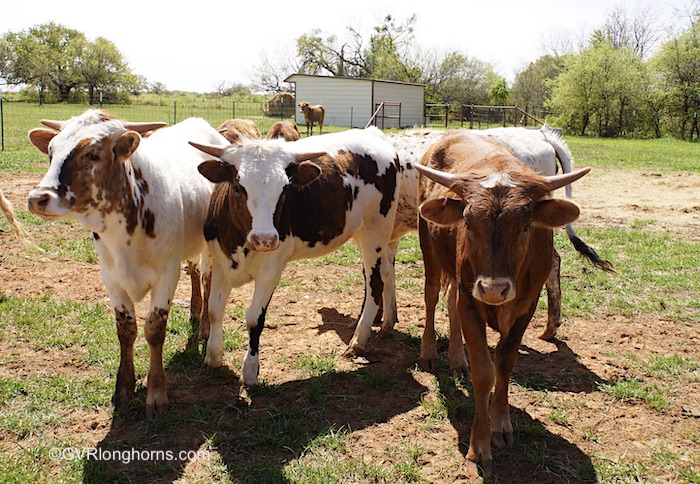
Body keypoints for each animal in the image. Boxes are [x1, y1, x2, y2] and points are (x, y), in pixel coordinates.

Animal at [26, 111, 230, 418]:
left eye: (93, 154)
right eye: (51, 152)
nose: (38, 198)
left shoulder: (166, 274)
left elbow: (154, 330)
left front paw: (156, 393)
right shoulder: (111, 277)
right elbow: (126, 330)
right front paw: (123, 390)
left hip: (209, 245)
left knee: (206, 279)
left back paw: (205, 326)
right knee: (194, 271)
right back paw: (195, 313)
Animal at [190, 125, 400, 386]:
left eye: (284, 190)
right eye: (239, 187)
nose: (264, 239)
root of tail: (373, 133)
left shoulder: (271, 269)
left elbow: (254, 319)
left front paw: (250, 371)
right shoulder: (220, 262)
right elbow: (214, 310)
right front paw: (213, 356)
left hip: (376, 231)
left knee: (375, 281)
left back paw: (358, 340)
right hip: (365, 234)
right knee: (387, 272)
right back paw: (387, 322)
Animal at [416, 130, 592, 480]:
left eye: (525, 226)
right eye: (468, 222)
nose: (494, 289)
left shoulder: (526, 306)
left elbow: (505, 363)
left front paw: (500, 423)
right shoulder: (471, 301)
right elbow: (485, 373)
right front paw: (479, 448)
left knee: (450, 305)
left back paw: (457, 359)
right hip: (430, 251)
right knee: (431, 296)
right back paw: (429, 352)